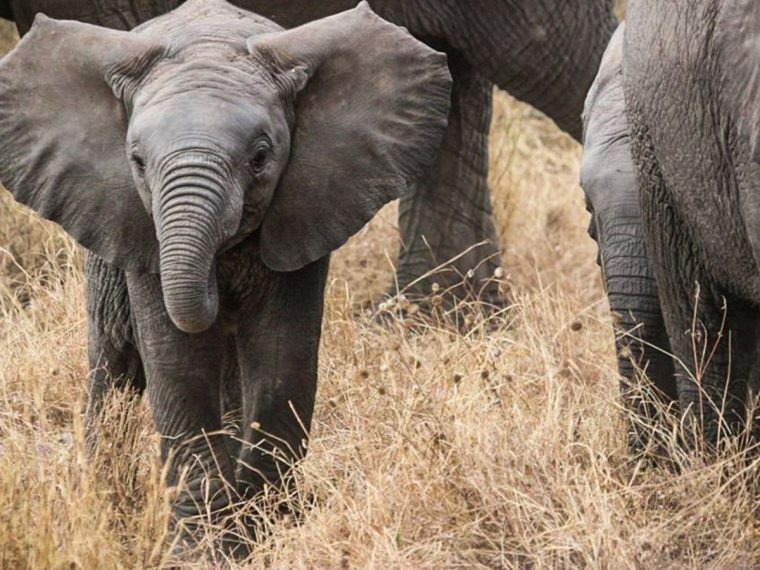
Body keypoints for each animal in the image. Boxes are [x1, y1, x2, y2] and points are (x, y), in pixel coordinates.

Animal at [0, 0, 452, 552]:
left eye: (260, 157)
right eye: (138, 162)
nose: (219, 286)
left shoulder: (307, 206)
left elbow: (281, 359)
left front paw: (265, 533)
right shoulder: (139, 229)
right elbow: (178, 363)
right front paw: (200, 548)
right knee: (114, 361)